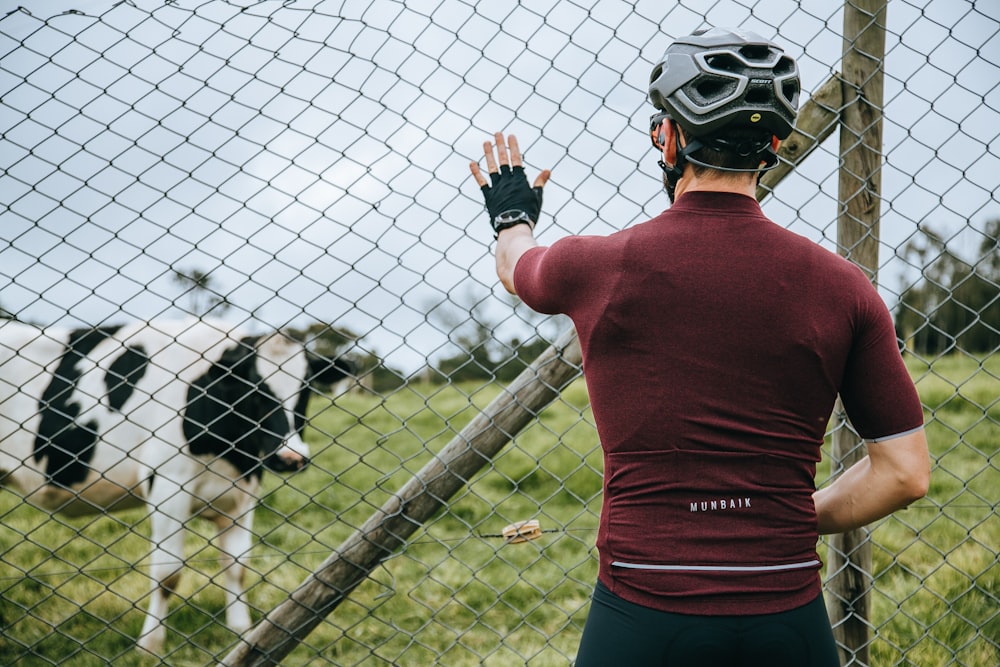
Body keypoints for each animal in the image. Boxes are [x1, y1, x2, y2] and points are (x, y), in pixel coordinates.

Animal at [0, 318, 356, 652]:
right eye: (253, 390)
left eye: (306, 389)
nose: (291, 457)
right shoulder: (167, 486)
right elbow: (167, 573)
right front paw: (150, 644)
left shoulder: (243, 494)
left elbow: (237, 566)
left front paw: (242, 631)